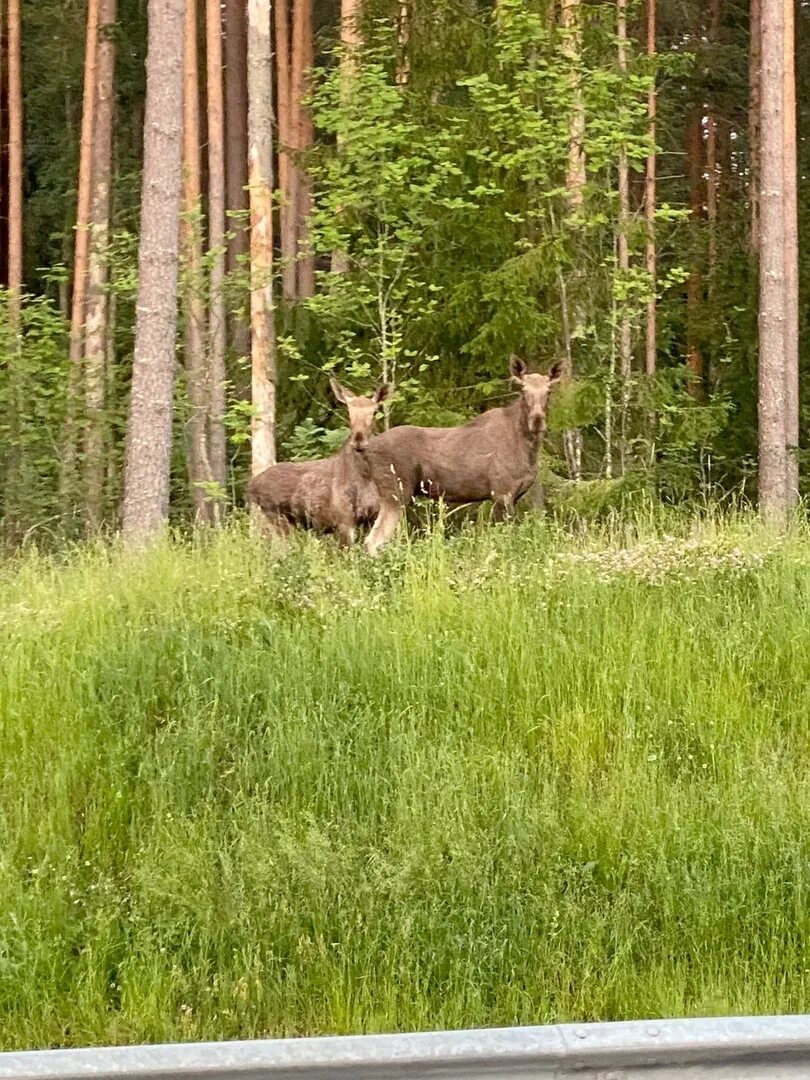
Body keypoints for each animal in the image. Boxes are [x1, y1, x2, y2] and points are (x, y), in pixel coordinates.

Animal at [249, 380, 395, 548]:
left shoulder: (371, 517)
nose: (358, 439)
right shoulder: (343, 520)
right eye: (349, 412)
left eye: (374, 412)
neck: (365, 477)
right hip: (276, 519)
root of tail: (251, 487)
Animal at [365, 356, 561, 557]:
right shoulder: (501, 493)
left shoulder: (514, 495)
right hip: (396, 493)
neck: (528, 447)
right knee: (373, 540)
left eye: (549, 391)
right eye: (523, 390)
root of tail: (367, 449)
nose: (537, 420)